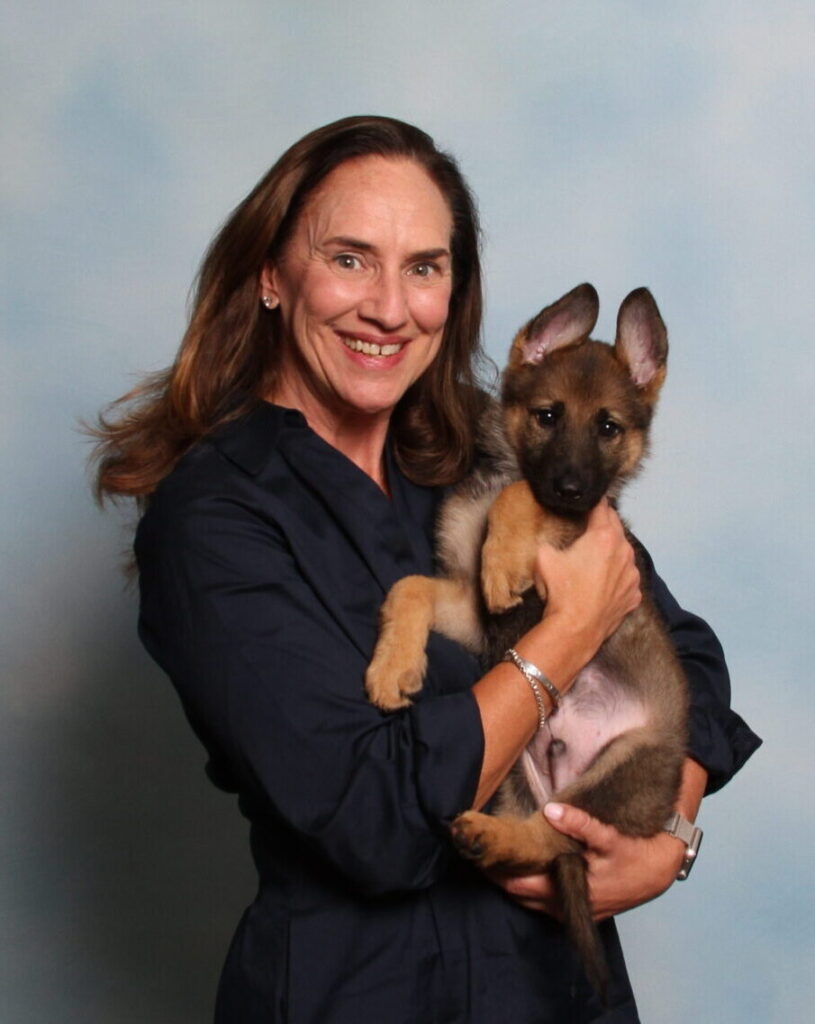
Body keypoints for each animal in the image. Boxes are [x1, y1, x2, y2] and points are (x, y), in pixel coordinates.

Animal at [366, 284, 692, 995]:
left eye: (608, 427)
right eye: (548, 416)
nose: (571, 487)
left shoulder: (572, 533)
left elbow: (519, 498)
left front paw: (504, 554)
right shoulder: (466, 607)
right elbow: (409, 585)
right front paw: (392, 667)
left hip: (623, 765)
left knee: (562, 837)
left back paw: (493, 841)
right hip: (515, 762)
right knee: (544, 829)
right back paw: (489, 838)